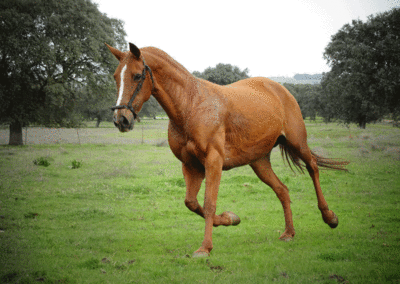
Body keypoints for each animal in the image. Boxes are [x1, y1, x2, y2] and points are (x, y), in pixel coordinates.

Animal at [105, 42, 346, 258]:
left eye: (137, 76)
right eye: (116, 77)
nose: (121, 120)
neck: (191, 106)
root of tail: (279, 88)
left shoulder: (213, 162)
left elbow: (209, 204)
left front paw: (205, 248)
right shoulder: (191, 166)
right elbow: (192, 203)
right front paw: (230, 218)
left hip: (298, 143)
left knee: (313, 167)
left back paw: (330, 217)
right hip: (259, 161)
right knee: (282, 190)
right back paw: (288, 233)